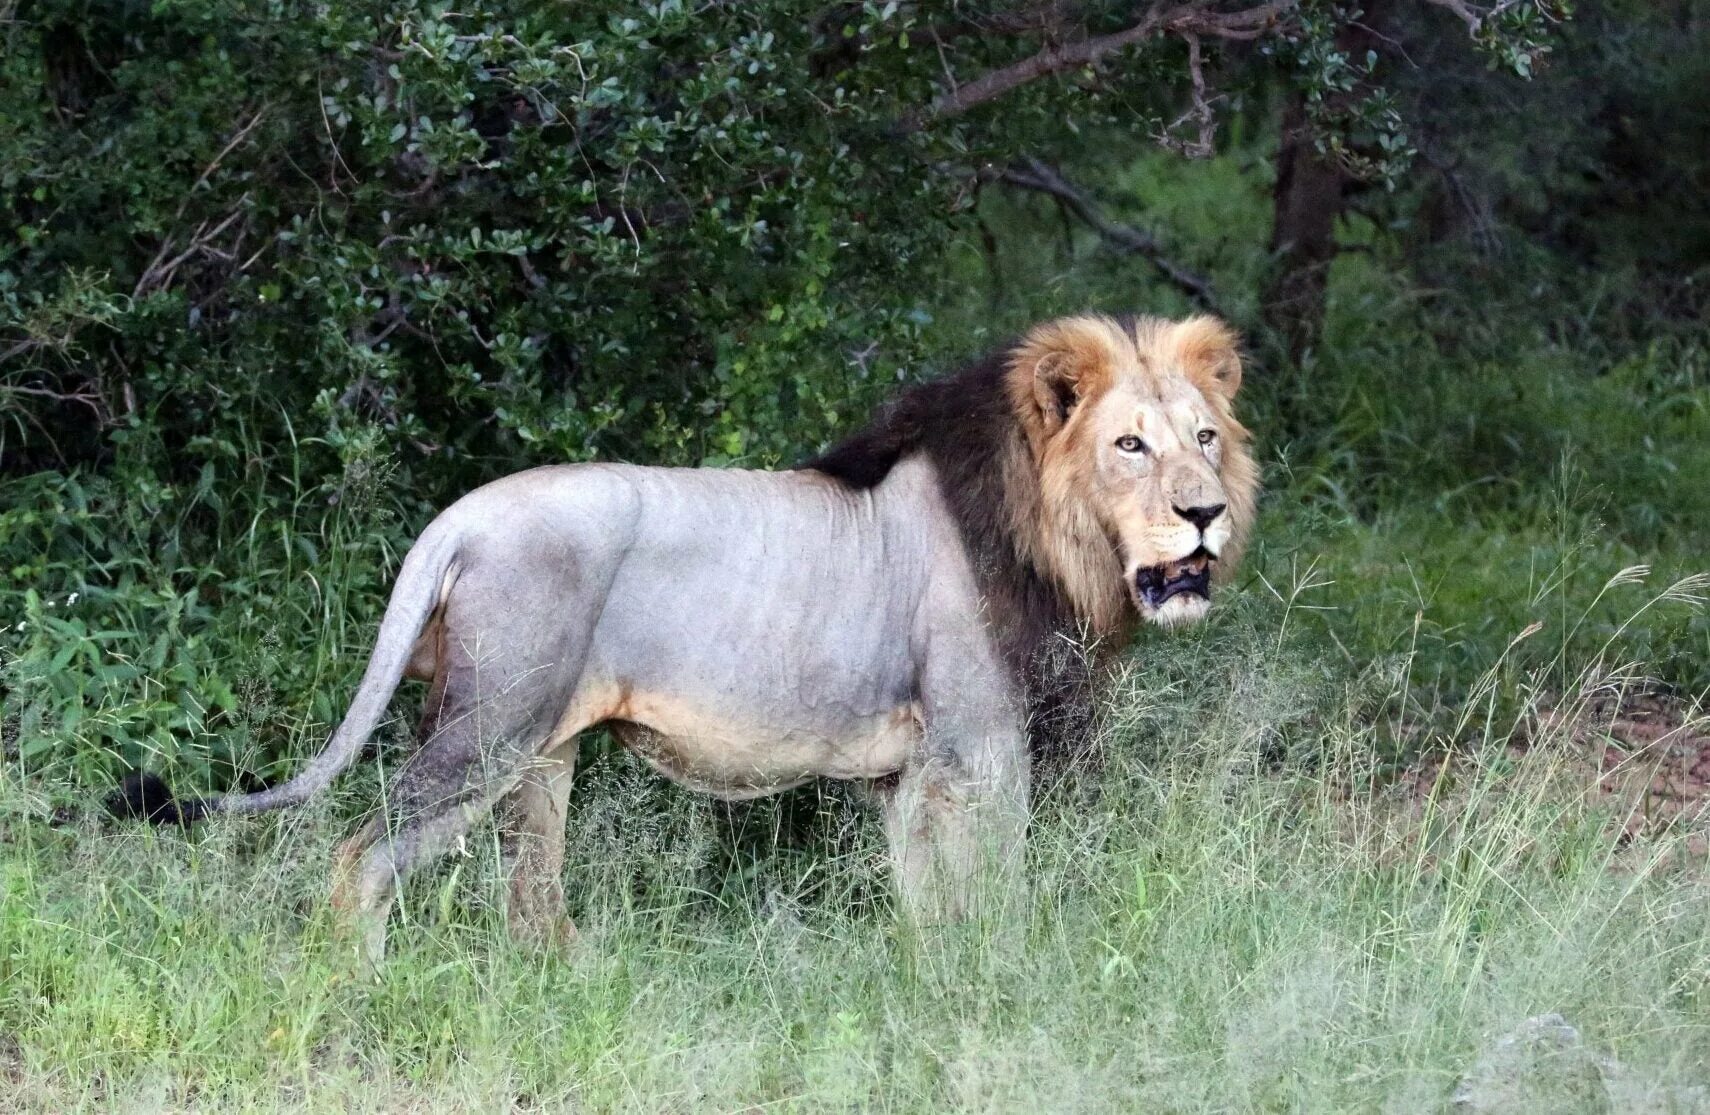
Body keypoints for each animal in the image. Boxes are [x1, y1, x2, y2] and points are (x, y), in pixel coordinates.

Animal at [106, 312, 1258, 957]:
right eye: (1129, 446)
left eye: (1205, 437)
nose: (1205, 513)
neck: (1050, 537)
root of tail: (457, 518)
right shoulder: (981, 747)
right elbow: (998, 894)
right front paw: (1000, 982)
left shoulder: (909, 773)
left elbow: (926, 905)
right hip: (489, 729)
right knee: (363, 855)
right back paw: (360, 988)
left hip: (543, 753)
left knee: (529, 905)